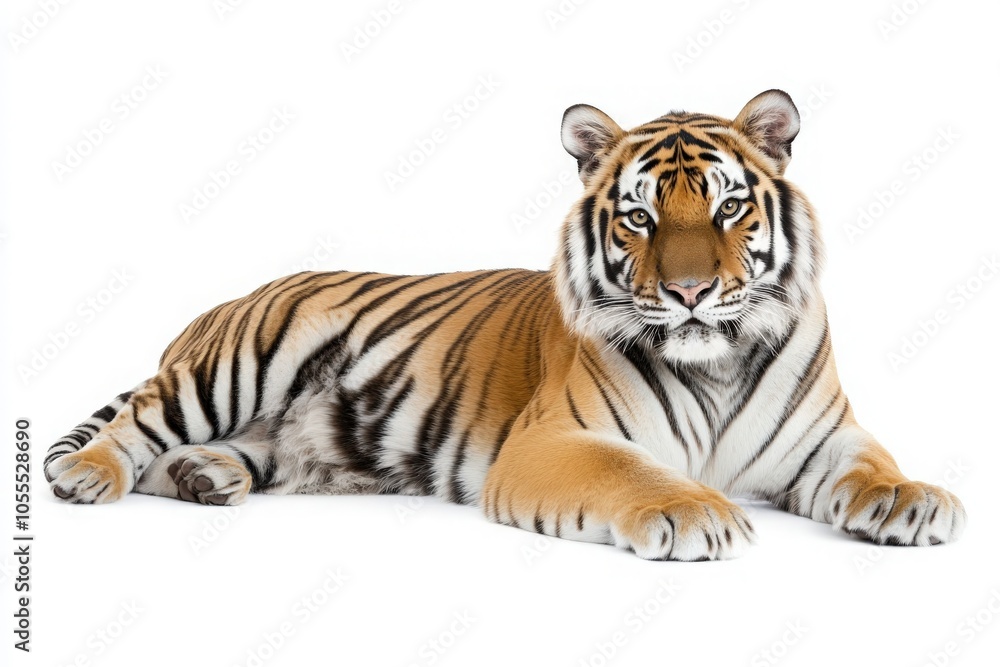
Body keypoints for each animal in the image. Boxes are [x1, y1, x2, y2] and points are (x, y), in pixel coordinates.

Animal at [45, 89, 966, 561]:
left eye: (729, 208)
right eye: (639, 218)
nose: (692, 291)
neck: (716, 361)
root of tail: (221, 302)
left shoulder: (826, 439)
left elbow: (875, 465)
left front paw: (912, 499)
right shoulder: (553, 440)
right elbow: (635, 473)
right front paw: (695, 511)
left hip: (277, 433)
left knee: (207, 455)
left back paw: (205, 477)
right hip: (235, 365)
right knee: (139, 422)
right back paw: (88, 476)